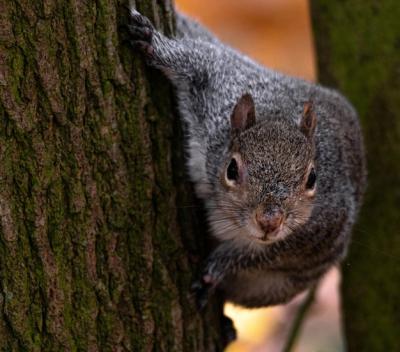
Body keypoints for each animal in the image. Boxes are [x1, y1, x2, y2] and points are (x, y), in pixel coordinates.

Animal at [126, 9, 368, 314]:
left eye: (313, 179)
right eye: (231, 169)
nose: (269, 221)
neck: (277, 114)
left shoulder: (321, 230)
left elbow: (259, 255)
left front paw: (218, 267)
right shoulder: (221, 86)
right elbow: (197, 60)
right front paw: (153, 43)